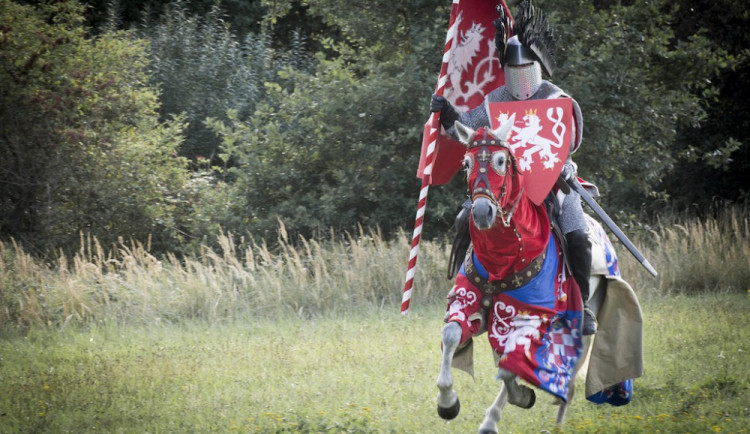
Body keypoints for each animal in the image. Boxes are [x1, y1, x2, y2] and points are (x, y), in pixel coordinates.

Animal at [438, 117, 612, 432]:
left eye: (500, 160)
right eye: (467, 163)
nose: (482, 212)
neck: (502, 259)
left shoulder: (527, 317)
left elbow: (511, 368)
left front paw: (515, 401)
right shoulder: (469, 302)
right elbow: (451, 334)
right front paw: (447, 403)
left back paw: (557, 418)